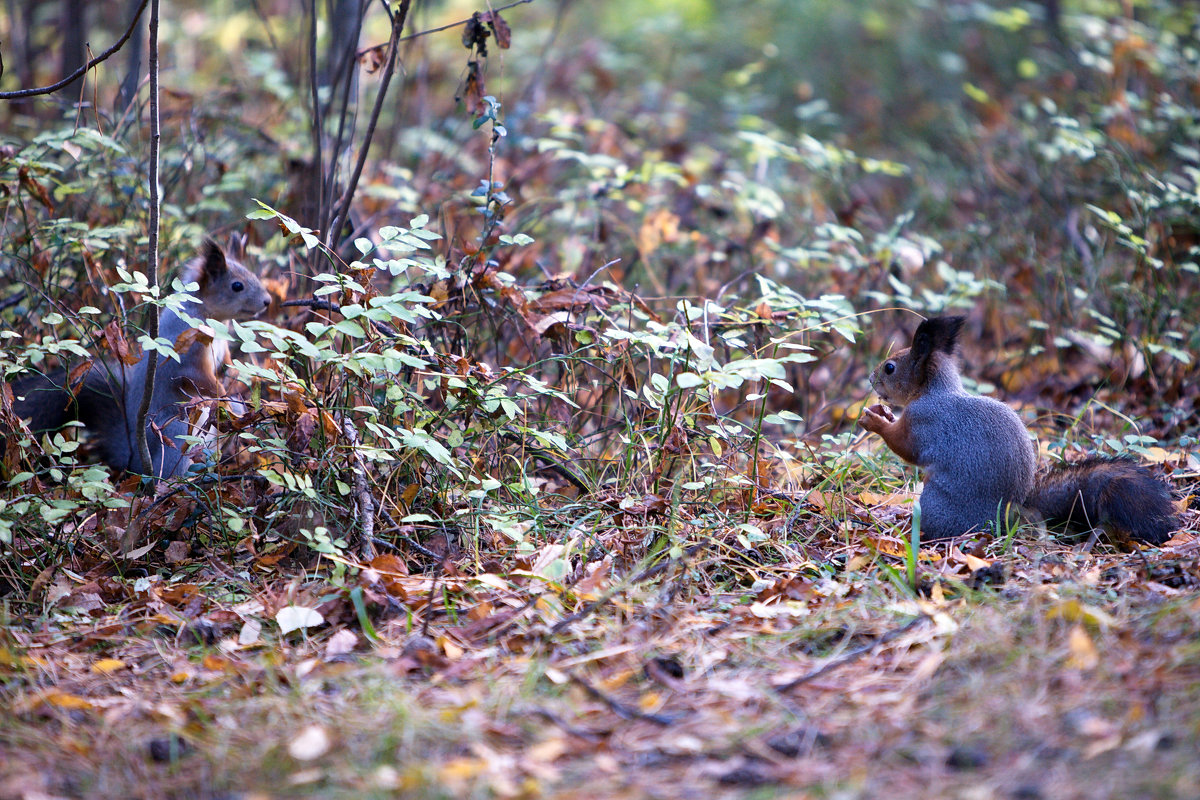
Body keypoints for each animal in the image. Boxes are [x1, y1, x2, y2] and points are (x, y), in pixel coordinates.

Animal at [5, 241, 272, 479]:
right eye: (237, 286)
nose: (267, 301)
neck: (207, 315)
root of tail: (134, 459)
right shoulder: (187, 353)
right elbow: (199, 378)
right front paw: (224, 397)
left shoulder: (221, 348)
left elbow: (225, 364)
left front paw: (237, 380)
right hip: (176, 433)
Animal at [859, 316, 1176, 546]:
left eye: (890, 368)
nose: (871, 378)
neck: (936, 391)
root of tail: (1008, 516)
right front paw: (884, 413)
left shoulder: (924, 421)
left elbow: (904, 446)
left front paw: (875, 421)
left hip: (935, 505)